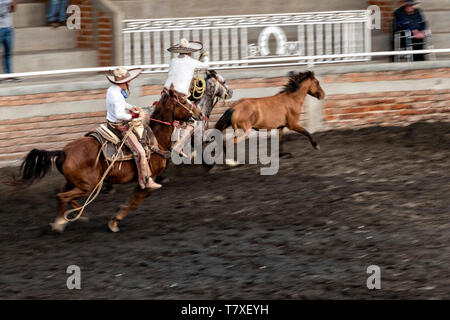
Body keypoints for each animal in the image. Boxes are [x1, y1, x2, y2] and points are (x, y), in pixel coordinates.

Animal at [7, 85, 202, 232]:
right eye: (183, 100)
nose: (199, 113)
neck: (155, 138)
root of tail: (63, 152)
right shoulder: (148, 181)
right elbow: (134, 202)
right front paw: (114, 222)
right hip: (89, 186)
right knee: (62, 196)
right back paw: (62, 221)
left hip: (77, 183)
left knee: (64, 194)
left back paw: (78, 215)